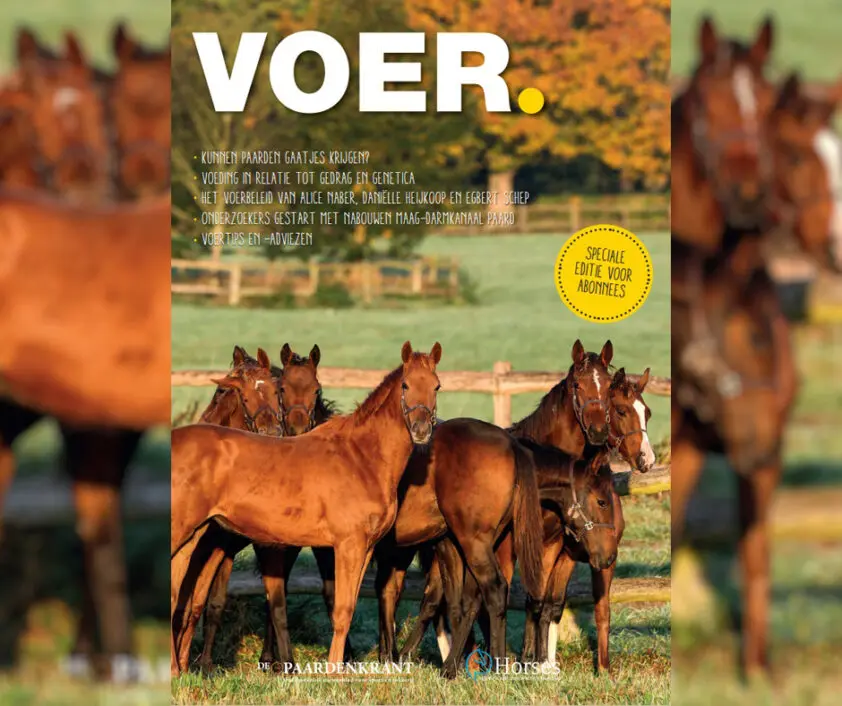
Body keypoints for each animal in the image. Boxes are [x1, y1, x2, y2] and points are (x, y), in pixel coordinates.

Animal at [170, 341, 442, 675]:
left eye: (436, 386)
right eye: (405, 385)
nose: (420, 430)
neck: (361, 456)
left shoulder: (364, 549)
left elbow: (348, 606)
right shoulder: (347, 546)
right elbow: (341, 609)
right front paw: (334, 673)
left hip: (194, 537)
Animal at [373, 340, 615, 677]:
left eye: (609, 385)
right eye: (578, 385)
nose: (598, 431)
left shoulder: (550, 546)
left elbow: (537, 601)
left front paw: (534, 661)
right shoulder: (498, 547)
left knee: (402, 594)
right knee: (400, 595)